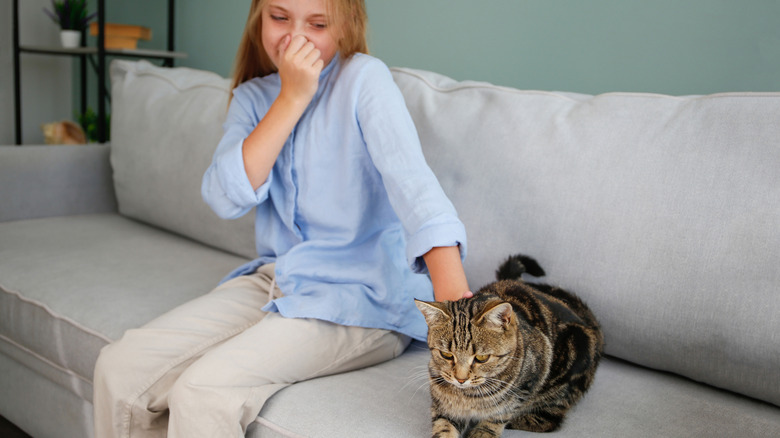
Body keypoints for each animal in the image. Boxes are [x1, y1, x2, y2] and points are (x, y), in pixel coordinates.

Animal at [414, 255, 604, 436]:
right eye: (446, 355)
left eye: (481, 358)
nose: (461, 379)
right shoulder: (444, 408)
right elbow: (444, 427)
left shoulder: (524, 388)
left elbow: (498, 415)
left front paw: (484, 431)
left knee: (550, 420)